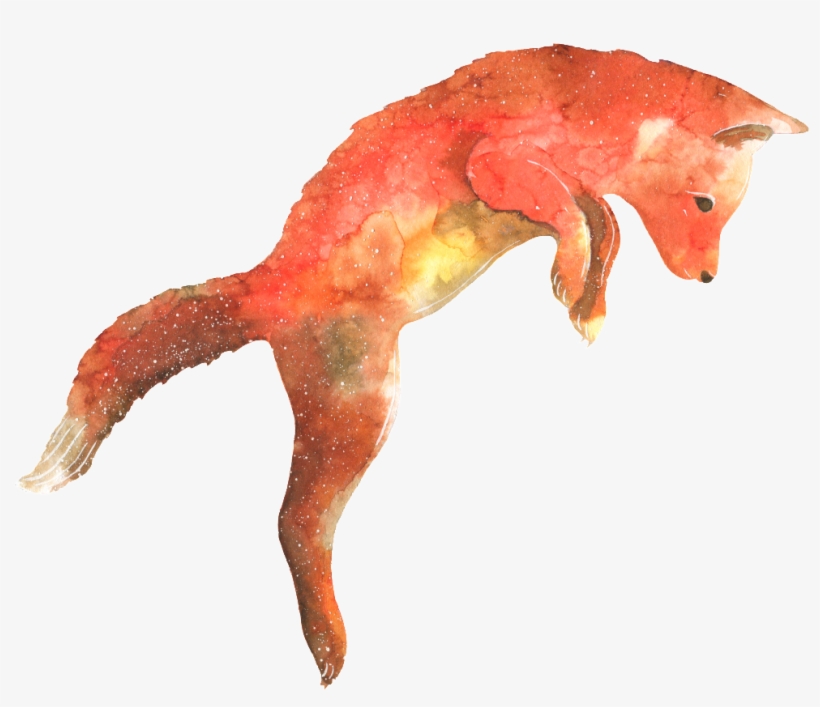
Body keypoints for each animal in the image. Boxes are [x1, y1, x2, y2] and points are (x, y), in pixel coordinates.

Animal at [20, 45, 807, 685]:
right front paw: (574, 274)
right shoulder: (493, 163)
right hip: (362, 415)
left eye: (724, 213)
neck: (584, 103)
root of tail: (266, 286)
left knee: (298, 523)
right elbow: (571, 209)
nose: (707, 278)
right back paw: (328, 647)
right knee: (293, 522)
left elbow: (602, 224)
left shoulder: (569, 186)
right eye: (704, 203)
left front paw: (588, 298)